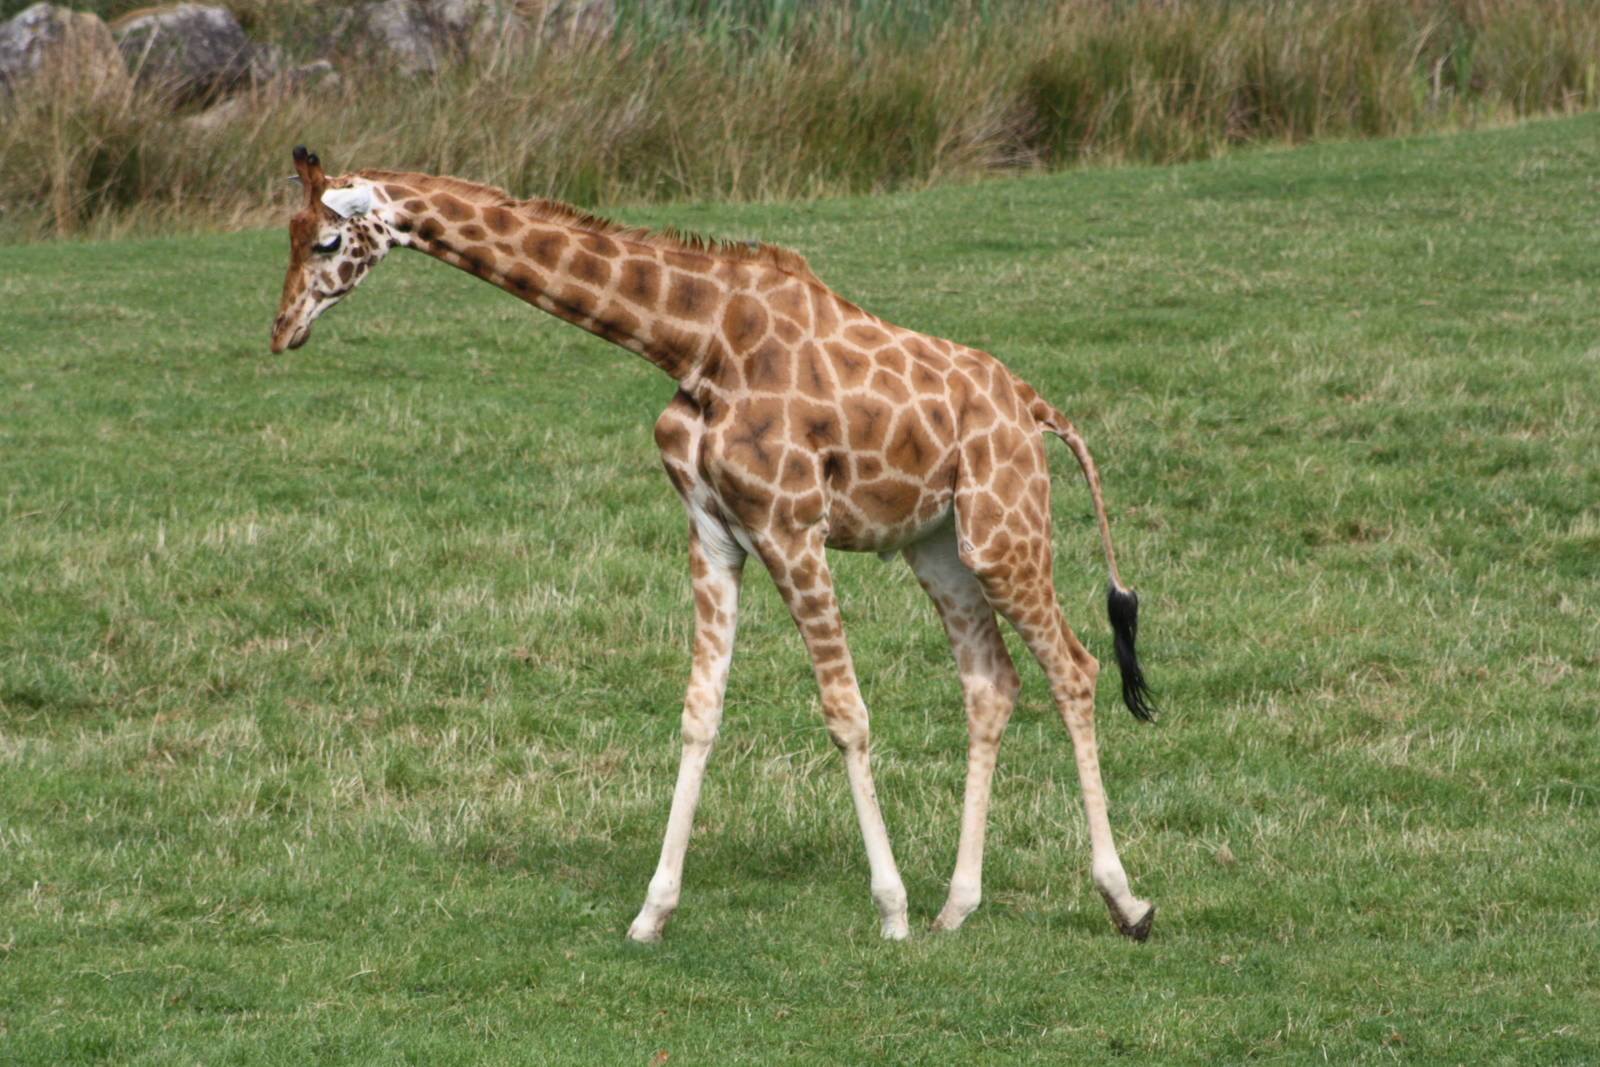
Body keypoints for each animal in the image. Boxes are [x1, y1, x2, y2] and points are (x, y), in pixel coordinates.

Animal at [271, 147, 1159, 943]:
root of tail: (1035, 406)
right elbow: (700, 711)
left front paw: (891, 909)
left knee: (1074, 668)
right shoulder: (714, 530)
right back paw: (959, 905)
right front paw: (652, 911)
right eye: (289, 232)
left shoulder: (790, 526)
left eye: (326, 242)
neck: (696, 341)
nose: (281, 331)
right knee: (991, 682)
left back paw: (1125, 900)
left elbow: (846, 712)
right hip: (939, 544)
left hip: (1006, 528)